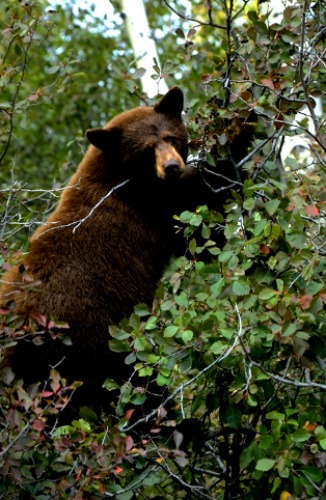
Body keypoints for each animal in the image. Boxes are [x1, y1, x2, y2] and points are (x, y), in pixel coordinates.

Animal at [0, 87, 206, 422]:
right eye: (147, 150)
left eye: (171, 137)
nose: (172, 167)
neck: (118, 174)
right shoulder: (150, 207)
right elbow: (196, 217)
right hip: (92, 344)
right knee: (133, 385)